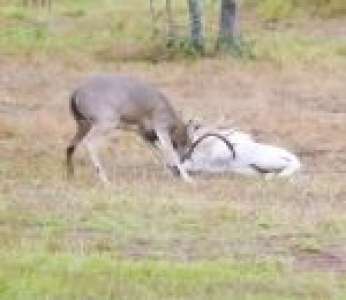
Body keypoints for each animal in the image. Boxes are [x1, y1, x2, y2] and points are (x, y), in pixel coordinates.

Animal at [65, 74, 195, 183]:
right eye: (188, 144)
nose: (185, 158)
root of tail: (76, 93)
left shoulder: (143, 134)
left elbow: (157, 151)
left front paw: (170, 172)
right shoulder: (161, 128)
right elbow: (169, 151)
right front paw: (187, 178)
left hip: (82, 125)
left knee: (71, 145)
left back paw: (71, 175)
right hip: (105, 123)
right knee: (90, 143)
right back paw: (105, 180)